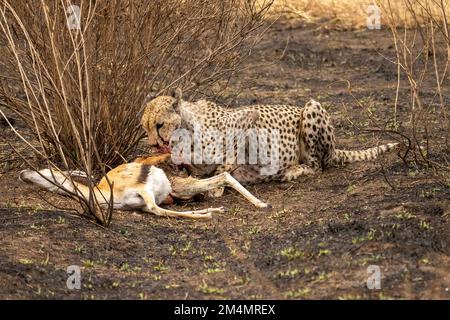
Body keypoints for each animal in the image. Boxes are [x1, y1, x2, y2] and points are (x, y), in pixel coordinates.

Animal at [142, 90, 398, 184]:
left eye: (160, 125)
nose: (154, 145)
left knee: (318, 166)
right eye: (145, 128)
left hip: (311, 106)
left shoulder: (247, 121)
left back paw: (294, 171)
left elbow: (226, 161)